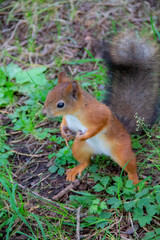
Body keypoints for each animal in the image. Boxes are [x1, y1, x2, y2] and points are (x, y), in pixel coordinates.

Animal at [42, 31, 159, 186]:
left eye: (60, 104)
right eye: (48, 94)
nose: (44, 112)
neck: (75, 113)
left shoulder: (98, 114)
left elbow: (100, 124)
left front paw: (84, 135)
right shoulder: (68, 119)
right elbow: (63, 123)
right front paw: (64, 132)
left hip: (121, 151)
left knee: (130, 165)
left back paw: (134, 181)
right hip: (79, 149)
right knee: (86, 161)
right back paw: (76, 169)